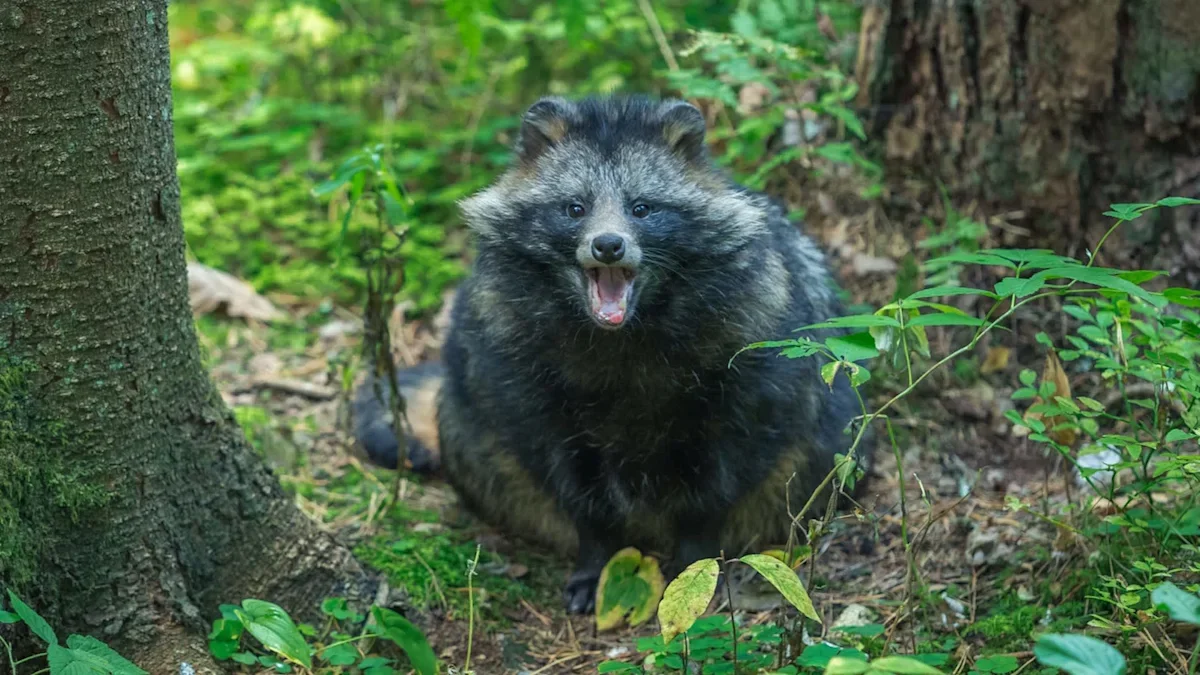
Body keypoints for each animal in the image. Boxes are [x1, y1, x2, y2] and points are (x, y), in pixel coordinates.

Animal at [353, 94, 872, 614]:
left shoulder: (754, 345)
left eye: (642, 208)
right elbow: (564, 473)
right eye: (574, 208)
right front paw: (596, 554)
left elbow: (726, 470)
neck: (621, 331)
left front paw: (695, 557)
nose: (607, 245)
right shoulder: (517, 360)